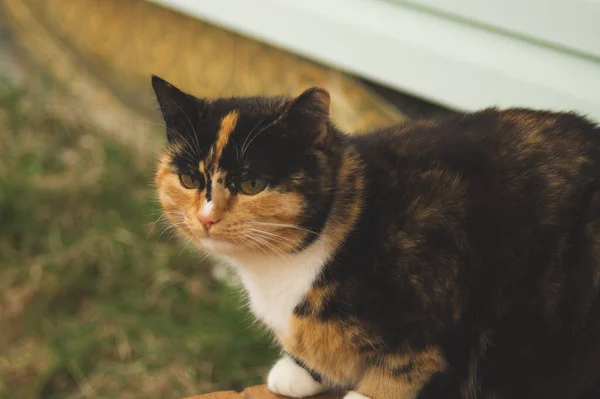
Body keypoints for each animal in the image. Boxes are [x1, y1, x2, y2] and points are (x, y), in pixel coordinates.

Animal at [151, 76, 600, 399]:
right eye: (189, 178)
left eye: (251, 183)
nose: (206, 217)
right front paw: (298, 372)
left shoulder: (436, 305)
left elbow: (405, 368)